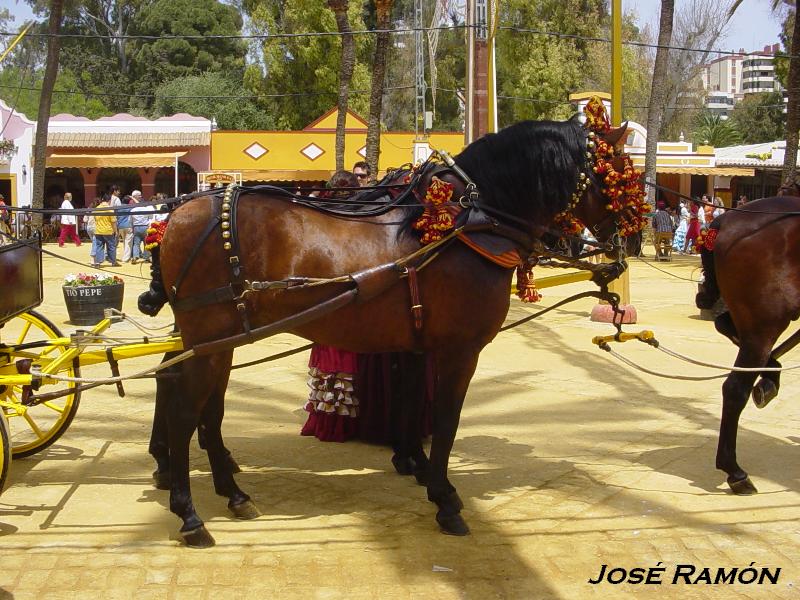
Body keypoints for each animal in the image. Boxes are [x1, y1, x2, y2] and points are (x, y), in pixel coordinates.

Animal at [142, 118, 632, 548]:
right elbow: (447, 421)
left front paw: (415, 464)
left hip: (216, 343)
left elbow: (413, 404)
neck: (467, 223)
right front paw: (444, 498)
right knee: (185, 411)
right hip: (209, 339)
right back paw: (188, 512)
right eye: (619, 172)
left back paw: (231, 492)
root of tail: (177, 213)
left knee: (204, 407)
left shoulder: (416, 346)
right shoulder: (459, 350)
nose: (630, 232)